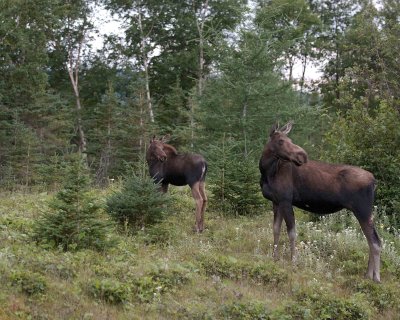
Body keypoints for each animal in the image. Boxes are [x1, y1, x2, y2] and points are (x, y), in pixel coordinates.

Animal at [260, 121, 382, 282]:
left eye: (290, 140)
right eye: (281, 141)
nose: (303, 155)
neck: (266, 171)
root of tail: (374, 181)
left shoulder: (286, 200)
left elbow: (292, 232)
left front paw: (294, 261)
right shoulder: (276, 202)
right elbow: (275, 229)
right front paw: (275, 258)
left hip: (363, 210)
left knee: (375, 241)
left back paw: (376, 278)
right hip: (363, 212)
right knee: (370, 240)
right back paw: (368, 275)